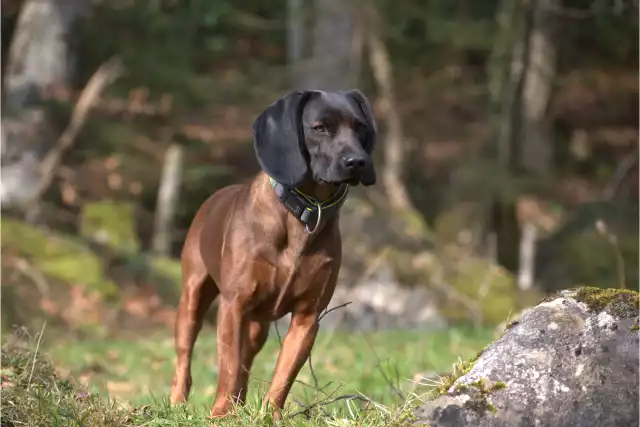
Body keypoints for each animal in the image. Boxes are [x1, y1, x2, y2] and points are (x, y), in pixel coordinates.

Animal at [170, 88, 378, 420]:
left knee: (247, 360)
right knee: (185, 357)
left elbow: (283, 375)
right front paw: (220, 414)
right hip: (192, 299)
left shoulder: (308, 316)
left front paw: (270, 415)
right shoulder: (233, 306)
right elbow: (228, 368)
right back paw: (179, 402)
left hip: (258, 326)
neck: (303, 213)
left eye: (360, 127)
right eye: (319, 128)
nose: (357, 161)